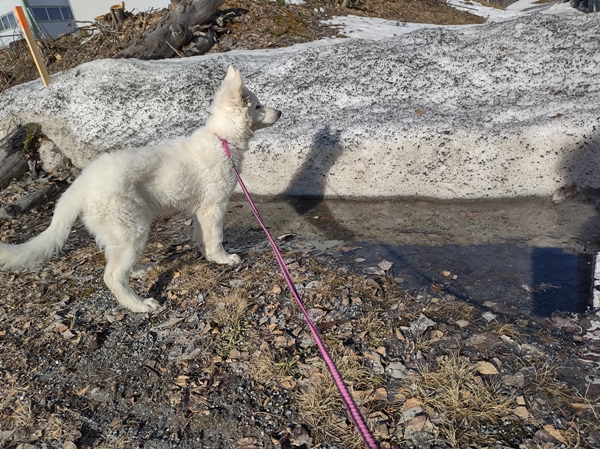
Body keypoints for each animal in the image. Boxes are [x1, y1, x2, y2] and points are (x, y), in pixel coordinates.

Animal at [0, 66, 282, 312]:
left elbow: (202, 236)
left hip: (121, 233)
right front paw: (222, 258)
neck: (222, 139)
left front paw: (207, 256)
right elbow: (216, 238)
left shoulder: (199, 210)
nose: (280, 112)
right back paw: (140, 305)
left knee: (116, 263)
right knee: (112, 276)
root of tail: (82, 183)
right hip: (131, 228)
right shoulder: (214, 207)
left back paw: (138, 271)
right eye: (258, 106)